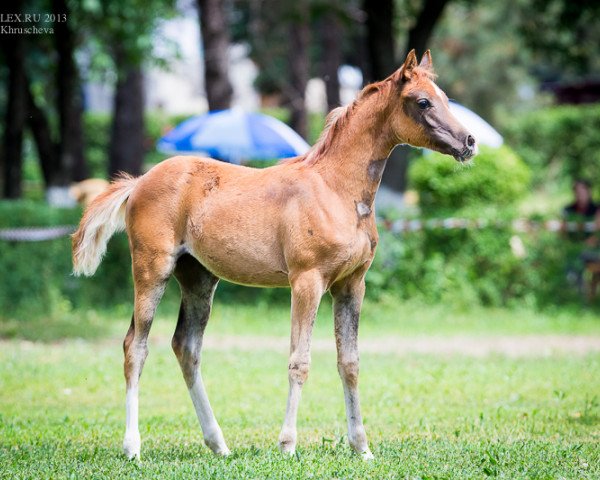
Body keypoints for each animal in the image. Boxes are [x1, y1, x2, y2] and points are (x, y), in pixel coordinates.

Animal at [72, 49, 476, 462]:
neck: (336, 189)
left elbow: (349, 362)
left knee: (186, 348)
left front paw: (362, 447)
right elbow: (299, 361)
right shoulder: (307, 281)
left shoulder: (352, 285)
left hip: (199, 279)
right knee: (135, 347)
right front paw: (287, 444)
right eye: (423, 102)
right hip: (152, 269)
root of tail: (139, 181)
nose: (469, 141)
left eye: (444, 97)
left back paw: (218, 444)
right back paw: (133, 446)